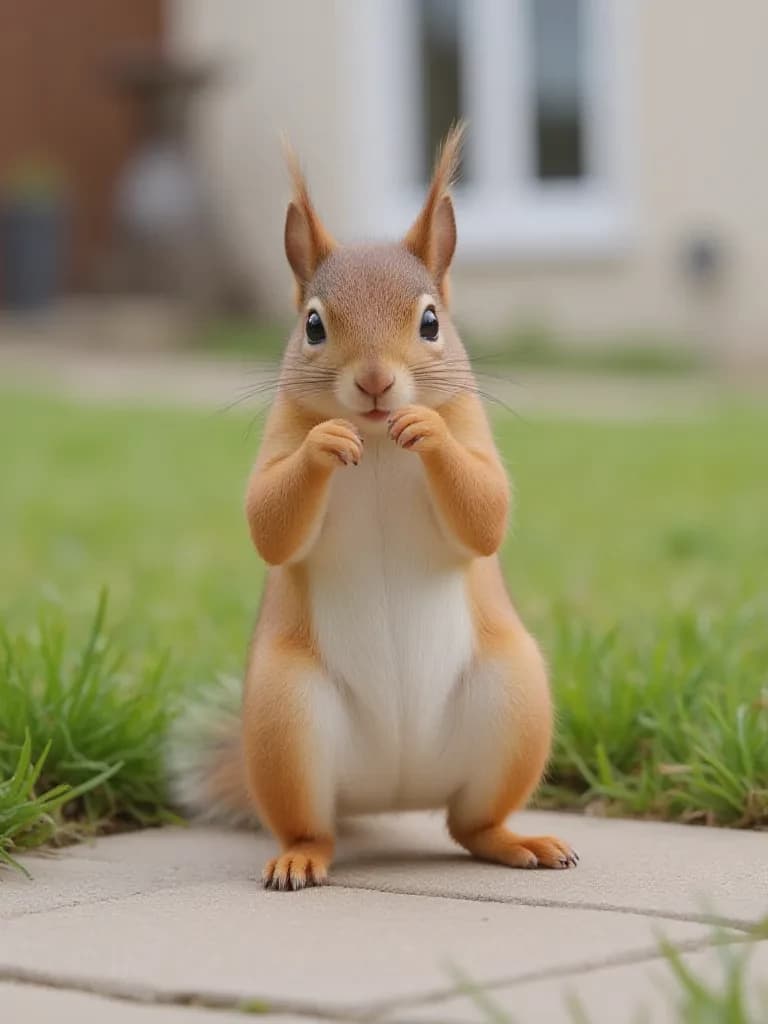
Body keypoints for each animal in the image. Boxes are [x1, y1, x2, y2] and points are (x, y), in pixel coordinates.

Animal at [172, 125, 577, 889]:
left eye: (431, 321)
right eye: (312, 326)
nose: (375, 383)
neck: (382, 446)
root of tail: (393, 790)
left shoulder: (474, 436)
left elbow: (487, 510)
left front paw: (428, 431)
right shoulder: (278, 440)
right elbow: (268, 522)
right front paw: (325, 445)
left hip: (515, 701)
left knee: (470, 824)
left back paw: (520, 843)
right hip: (286, 717)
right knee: (316, 826)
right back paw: (300, 856)